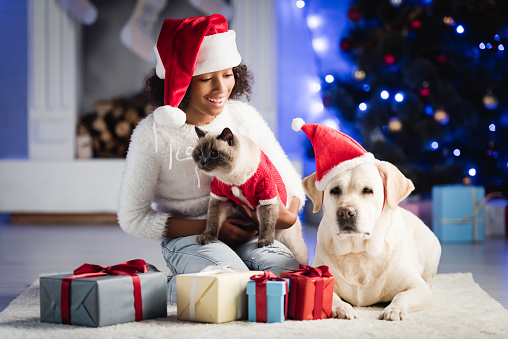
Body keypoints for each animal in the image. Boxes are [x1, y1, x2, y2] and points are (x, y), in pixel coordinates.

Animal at [192, 127, 308, 266]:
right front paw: (207, 237)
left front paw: (265, 241)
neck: (231, 177)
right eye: (199, 152)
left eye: (214, 153)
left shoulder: (266, 199)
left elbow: (266, 223)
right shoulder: (219, 198)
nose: (202, 162)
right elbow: (213, 220)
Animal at [292, 119, 442, 322]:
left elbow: (402, 295)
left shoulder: (418, 288)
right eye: (335, 190)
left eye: (367, 190)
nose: (345, 212)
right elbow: (331, 296)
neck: (359, 253)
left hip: (431, 247)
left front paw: (394, 310)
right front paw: (343, 308)